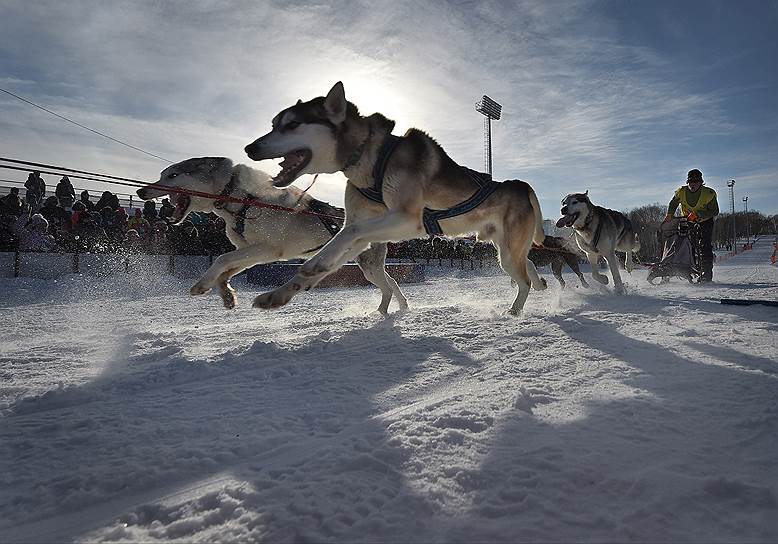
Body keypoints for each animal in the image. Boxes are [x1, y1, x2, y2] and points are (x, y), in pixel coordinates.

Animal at [137, 155, 410, 312]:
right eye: (162, 174)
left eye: (173, 175)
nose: (141, 192)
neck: (243, 200)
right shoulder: (251, 252)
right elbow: (226, 269)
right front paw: (227, 295)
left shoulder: (267, 249)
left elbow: (221, 259)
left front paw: (202, 284)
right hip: (368, 268)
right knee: (392, 282)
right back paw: (400, 307)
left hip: (369, 267)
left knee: (388, 287)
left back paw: (383, 311)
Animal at [246, 83, 544, 316]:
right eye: (274, 124)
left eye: (293, 124)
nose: (250, 148)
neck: (370, 158)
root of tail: (520, 185)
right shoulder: (365, 233)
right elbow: (341, 242)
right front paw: (279, 294)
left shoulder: (406, 219)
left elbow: (347, 235)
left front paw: (314, 264)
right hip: (504, 249)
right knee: (527, 265)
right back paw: (540, 282)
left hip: (507, 251)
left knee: (524, 280)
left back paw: (515, 310)